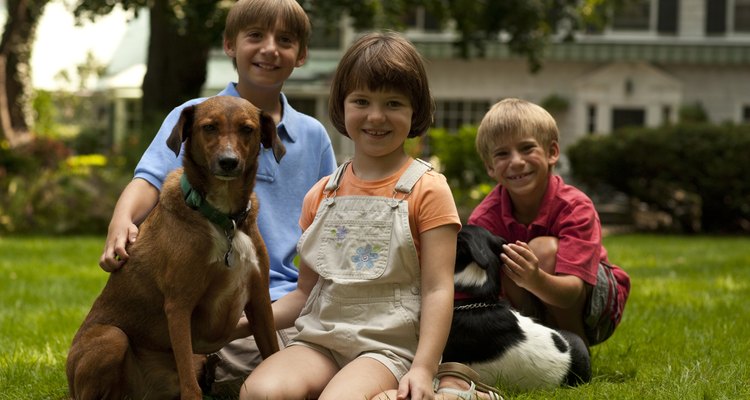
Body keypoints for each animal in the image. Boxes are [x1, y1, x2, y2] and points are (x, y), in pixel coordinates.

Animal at [67, 97, 284, 400]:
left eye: (247, 129)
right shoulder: (179, 305)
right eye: (209, 127)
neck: (222, 218)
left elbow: (273, 353)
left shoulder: (260, 301)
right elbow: (190, 385)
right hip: (113, 337)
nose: (228, 162)